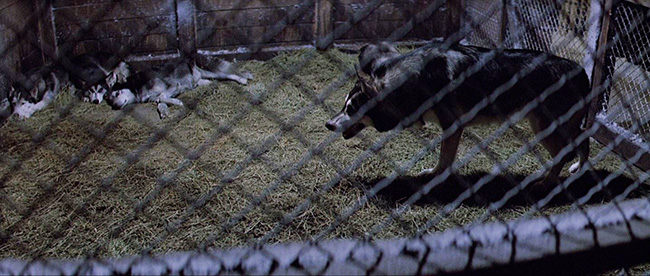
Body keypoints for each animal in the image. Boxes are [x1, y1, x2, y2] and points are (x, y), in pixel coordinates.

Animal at [105, 57, 249, 118]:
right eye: (111, 101)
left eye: (117, 93)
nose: (115, 106)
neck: (138, 86)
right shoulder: (156, 97)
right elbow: (159, 101)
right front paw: (164, 111)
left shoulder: (174, 86)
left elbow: (161, 96)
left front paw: (177, 102)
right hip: (202, 80)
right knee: (214, 81)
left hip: (211, 72)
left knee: (230, 74)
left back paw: (243, 80)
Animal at [326, 41, 588, 188]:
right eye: (343, 105)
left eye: (352, 109)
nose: (328, 124)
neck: (413, 82)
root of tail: (580, 70)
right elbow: (444, 160)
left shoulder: (452, 126)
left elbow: (444, 160)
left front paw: (435, 179)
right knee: (581, 142)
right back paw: (576, 170)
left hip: (544, 126)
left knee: (566, 150)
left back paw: (548, 181)